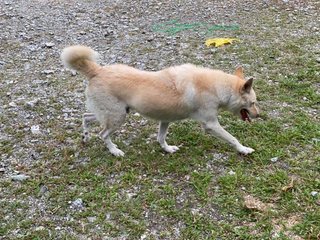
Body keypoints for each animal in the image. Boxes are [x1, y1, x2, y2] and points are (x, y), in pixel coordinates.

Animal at [60, 45, 260, 157]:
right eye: (253, 103)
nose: (259, 116)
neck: (218, 87)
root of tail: (97, 71)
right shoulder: (210, 124)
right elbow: (232, 138)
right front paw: (244, 149)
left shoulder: (165, 119)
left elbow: (161, 137)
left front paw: (167, 149)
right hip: (117, 117)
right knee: (103, 134)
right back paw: (114, 151)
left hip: (114, 113)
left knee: (86, 117)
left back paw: (85, 136)